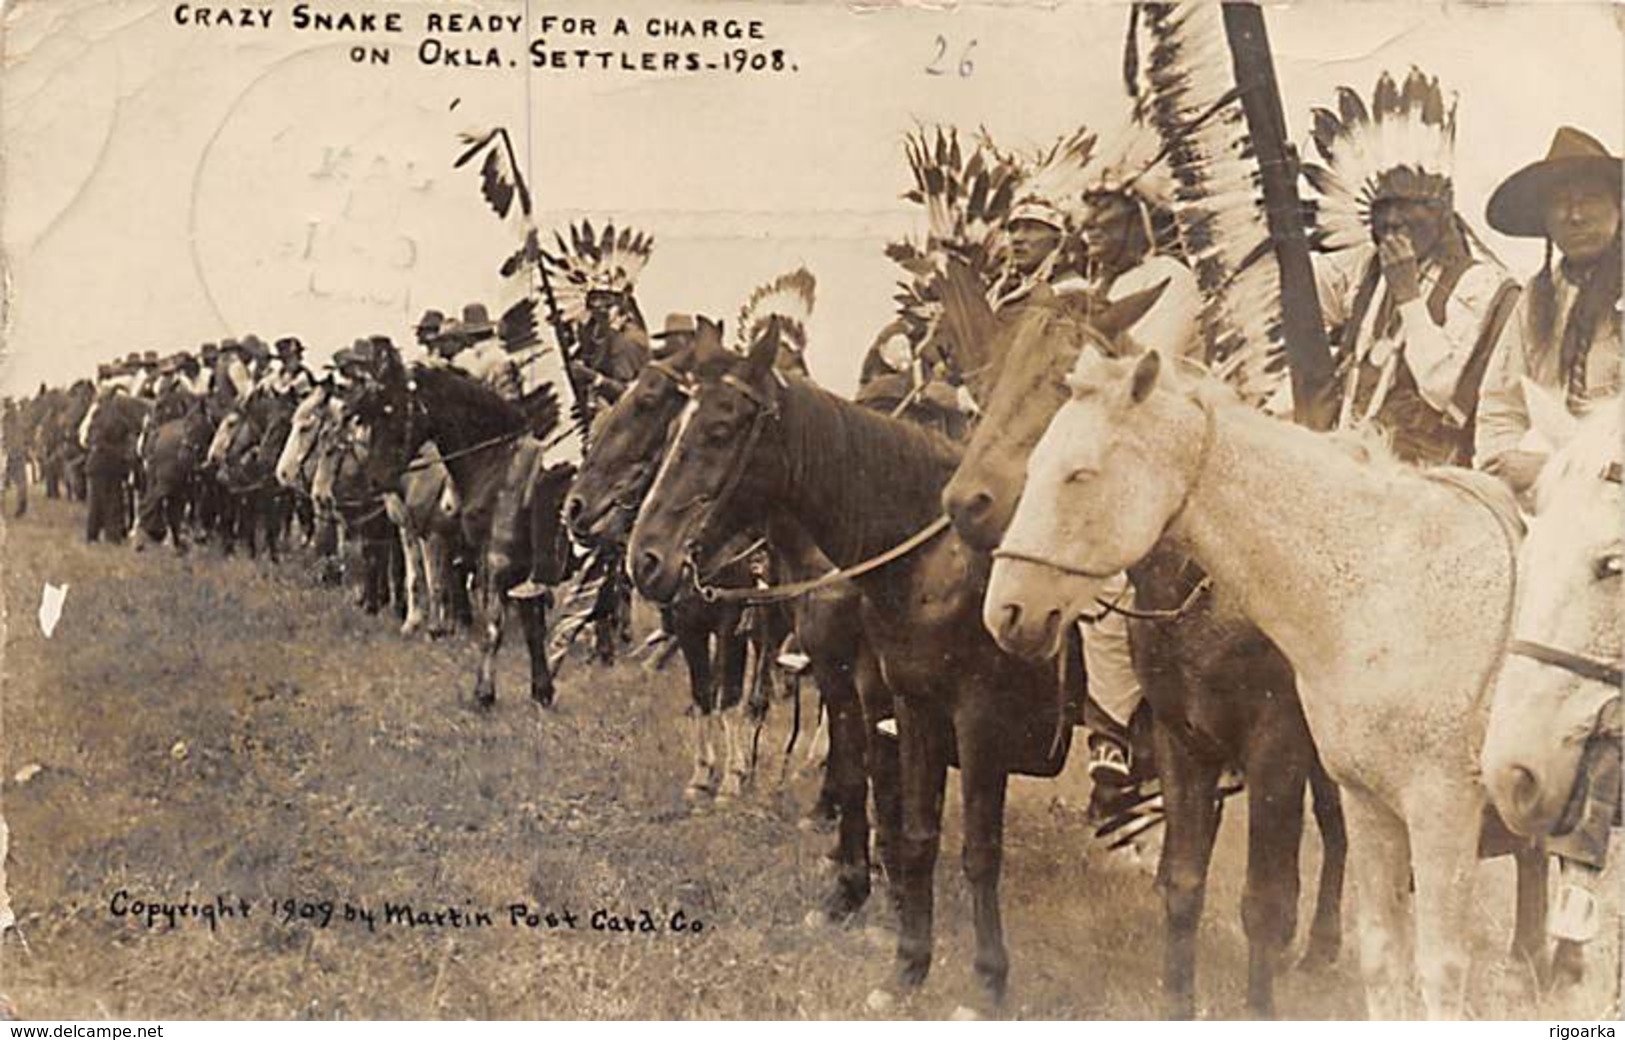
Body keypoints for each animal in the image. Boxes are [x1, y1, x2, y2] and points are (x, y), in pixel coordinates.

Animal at [633, 321, 1079, 1014]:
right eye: (675, 422)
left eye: (720, 429)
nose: (645, 557)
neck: (936, 562)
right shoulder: (892, 696)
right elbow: (892, 810)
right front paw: (891, 944)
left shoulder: (974, 718)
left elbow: (975, 847)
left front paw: (985, 983)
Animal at [981, 349, 1527, 1014]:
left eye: (1079, 475)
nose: (1010, 612)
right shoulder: (1184, 746)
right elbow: (1185, 885)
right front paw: (1178, 1004)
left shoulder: (1278, 752)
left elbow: (1265, 901)